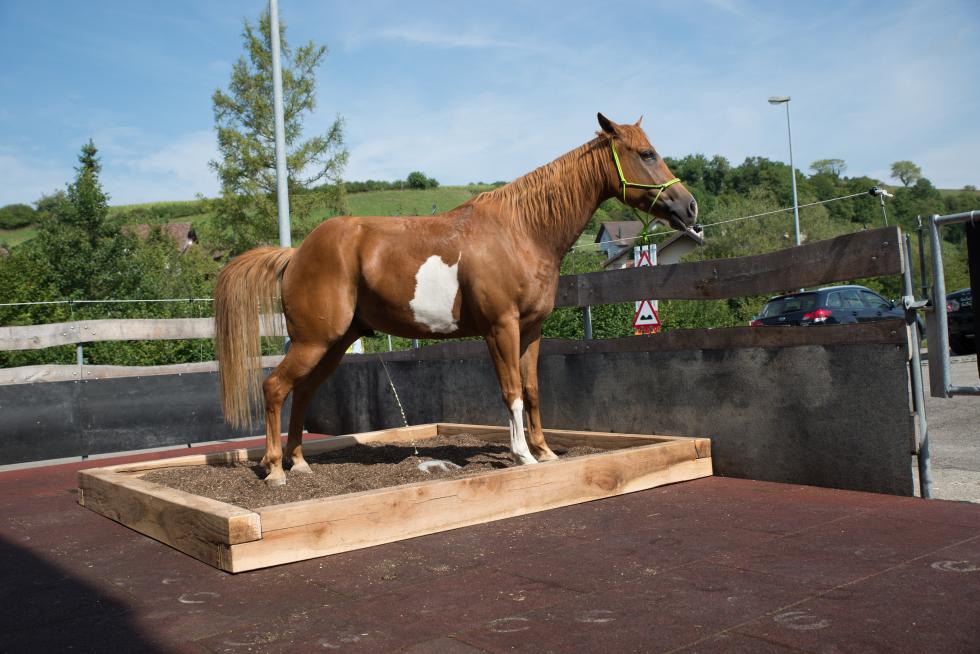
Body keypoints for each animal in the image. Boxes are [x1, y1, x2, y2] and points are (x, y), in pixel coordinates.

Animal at [214, 113, 700, 485]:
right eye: (647, 154)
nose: (689, 207)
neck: (521, 232)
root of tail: (296, 253)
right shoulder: (500, 327)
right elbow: (511, 390)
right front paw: (522, 455)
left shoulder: (531, 330)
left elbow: (533, 390)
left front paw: (545, 451)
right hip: (314, 341)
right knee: (275, 388)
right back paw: (275, 470)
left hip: (332, 345)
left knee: (301, 393)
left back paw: (298, 462)